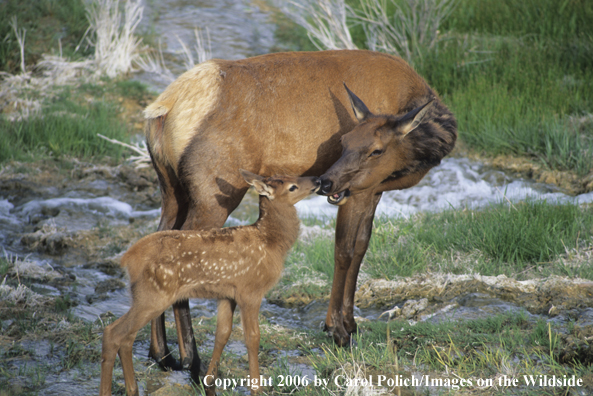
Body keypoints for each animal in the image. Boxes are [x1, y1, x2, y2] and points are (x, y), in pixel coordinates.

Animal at [98, 171, 320, 396]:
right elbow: (252, 338)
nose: (318, 180)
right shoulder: (251, 290)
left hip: (144, 295)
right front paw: (257, 388)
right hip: (153, 293)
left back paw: (132, 389)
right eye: (292, 187)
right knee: (114, 333)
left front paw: (209, 382)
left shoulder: (227, 295)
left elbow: (222, 334)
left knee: (126, 337)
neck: (270, 242)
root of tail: (128, 259)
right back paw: (108, 390)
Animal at [145, 49, 458, 374]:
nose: (326, 181)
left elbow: (361, 247)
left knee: (159, 238)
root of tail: (163, 109)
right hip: (214, 191)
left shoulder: (372, 189)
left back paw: (162, 353)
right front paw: (337, 329)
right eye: (344, 141)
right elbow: (344, 251)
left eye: (376, 150)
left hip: (172, 189)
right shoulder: (357, 192)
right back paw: (192, 360)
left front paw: (351, 322)